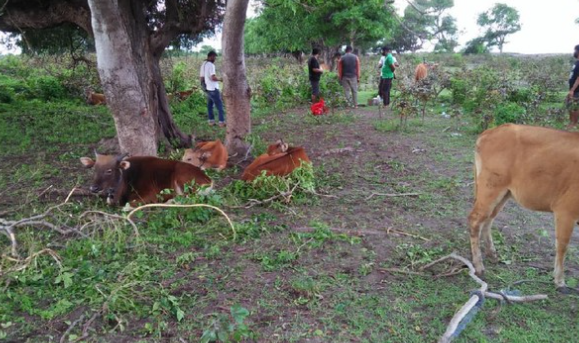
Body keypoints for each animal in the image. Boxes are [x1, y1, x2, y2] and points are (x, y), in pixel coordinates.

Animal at [79, 152, 211, 206]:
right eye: (94, 169)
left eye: (109, 170)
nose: (93, 188)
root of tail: (208, 180)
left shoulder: (150, 194)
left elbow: (128, 205)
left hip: (182, 179)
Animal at [468, 125, 579, 294]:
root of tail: (490, 132)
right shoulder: (566, 210)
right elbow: (562, 246)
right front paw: (559, 281)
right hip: (490, 188)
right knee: (475, 219)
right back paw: (479, 266)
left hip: (504, 192)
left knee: (489, 218)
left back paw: (492, 254)